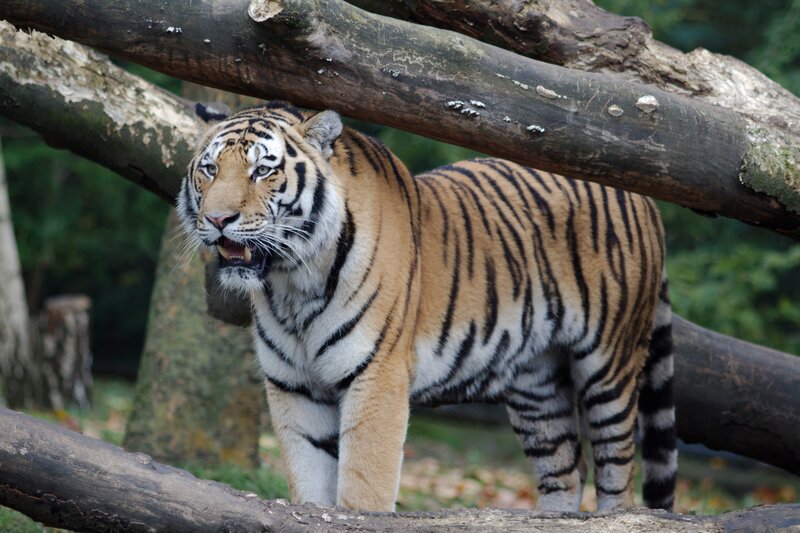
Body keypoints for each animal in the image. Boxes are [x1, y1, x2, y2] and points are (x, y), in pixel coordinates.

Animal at [178, 101, 677, 513]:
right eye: (209, 169)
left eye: (263, 170)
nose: (217, 220)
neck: (292, 284)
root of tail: (640, 192)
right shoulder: (293, 386)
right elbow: (309, 484)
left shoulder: (376, 374)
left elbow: (363, 488)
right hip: (537, 384)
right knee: (565, 471)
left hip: (609, 367)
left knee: (618, 477)